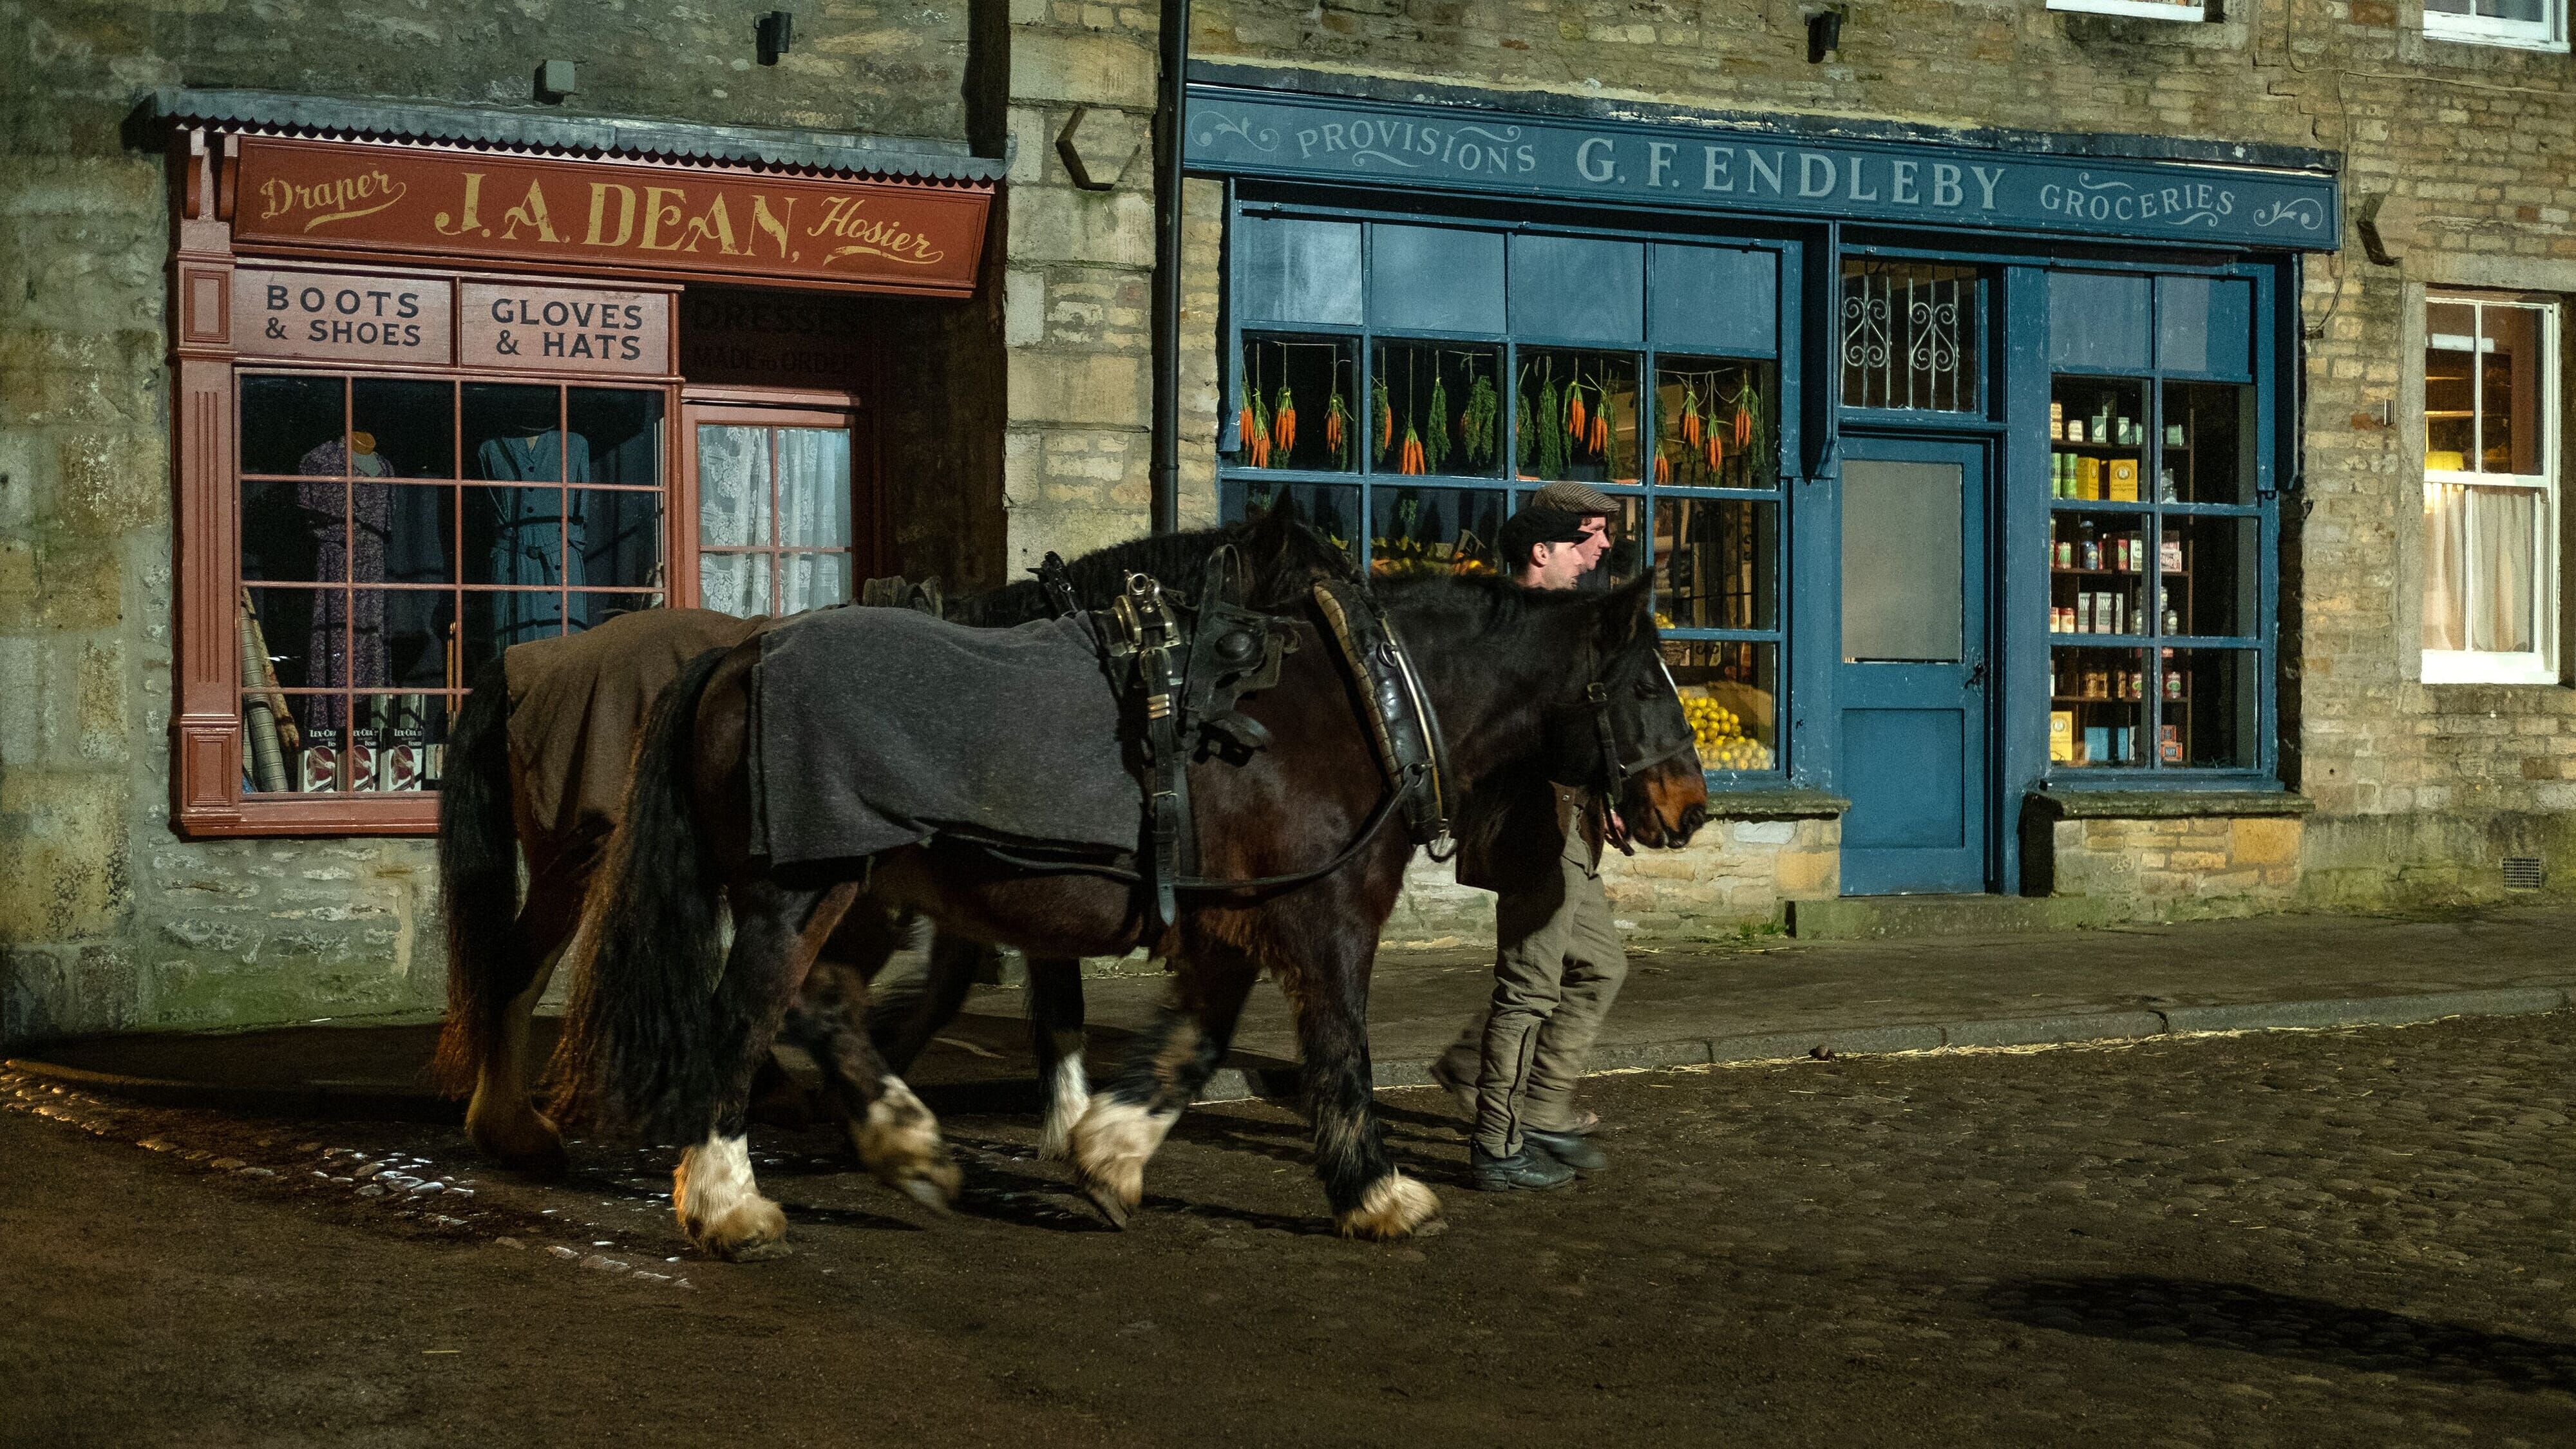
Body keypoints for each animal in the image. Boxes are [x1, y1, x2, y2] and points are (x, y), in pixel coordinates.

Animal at [428, 505, 1350, 1175]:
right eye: (1318, 584)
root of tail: (529, 664)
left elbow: (992, 991)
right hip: (582, 857)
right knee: (518, 970)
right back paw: (518, 1129)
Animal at [554, 569, 1700, 1247]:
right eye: (1646, 682)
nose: (1688, 803)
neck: (1351, 709)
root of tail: (743, 650)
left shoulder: (1237, 920)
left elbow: (1194, 1048)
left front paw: (1108, 1155)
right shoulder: (1325, 918)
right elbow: (1340, 1049)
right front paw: (1378, 1191)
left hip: (869, 890)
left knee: (824, 1005)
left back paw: (908, 1144)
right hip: (802, 887)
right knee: (747, 1013)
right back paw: (728, 1199)